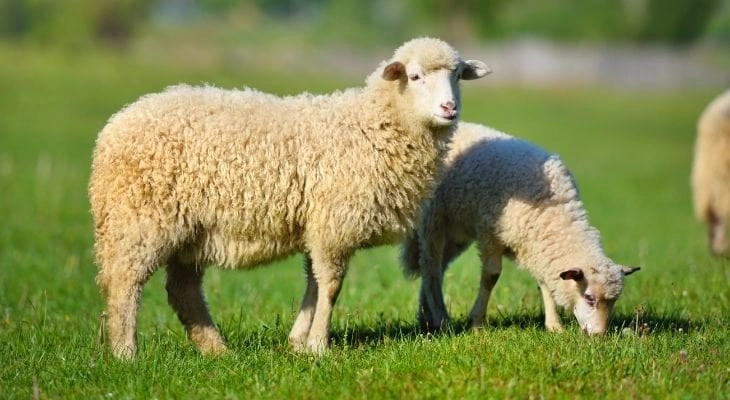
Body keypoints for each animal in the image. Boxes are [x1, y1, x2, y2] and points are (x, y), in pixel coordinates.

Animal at [89, 38, 490, 359]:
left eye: (457, 75)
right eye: (416, 76)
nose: (449, 108)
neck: (372, 125)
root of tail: (113, 128)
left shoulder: (319, 223)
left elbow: (313, 281)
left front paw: (298, 341)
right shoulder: (333, 223)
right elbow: (331, 285)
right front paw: (318, 346)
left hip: (191, 231)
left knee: (182, 290)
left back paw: (215, 350)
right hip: (139, 219)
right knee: (124, 283)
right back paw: (126, 353)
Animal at [401, 122, 639, 335]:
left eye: (614, 301)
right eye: (589, 297)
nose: (598, 335)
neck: (553, 212)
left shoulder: (536, 245)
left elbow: (545, 282)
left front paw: (554, 326)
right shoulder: (490, 235)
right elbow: (490, 277)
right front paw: (477, 323)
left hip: (456, 232)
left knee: (436, 267)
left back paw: (426, 317)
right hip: (434, 219)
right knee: (431, 267)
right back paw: (440, 318)